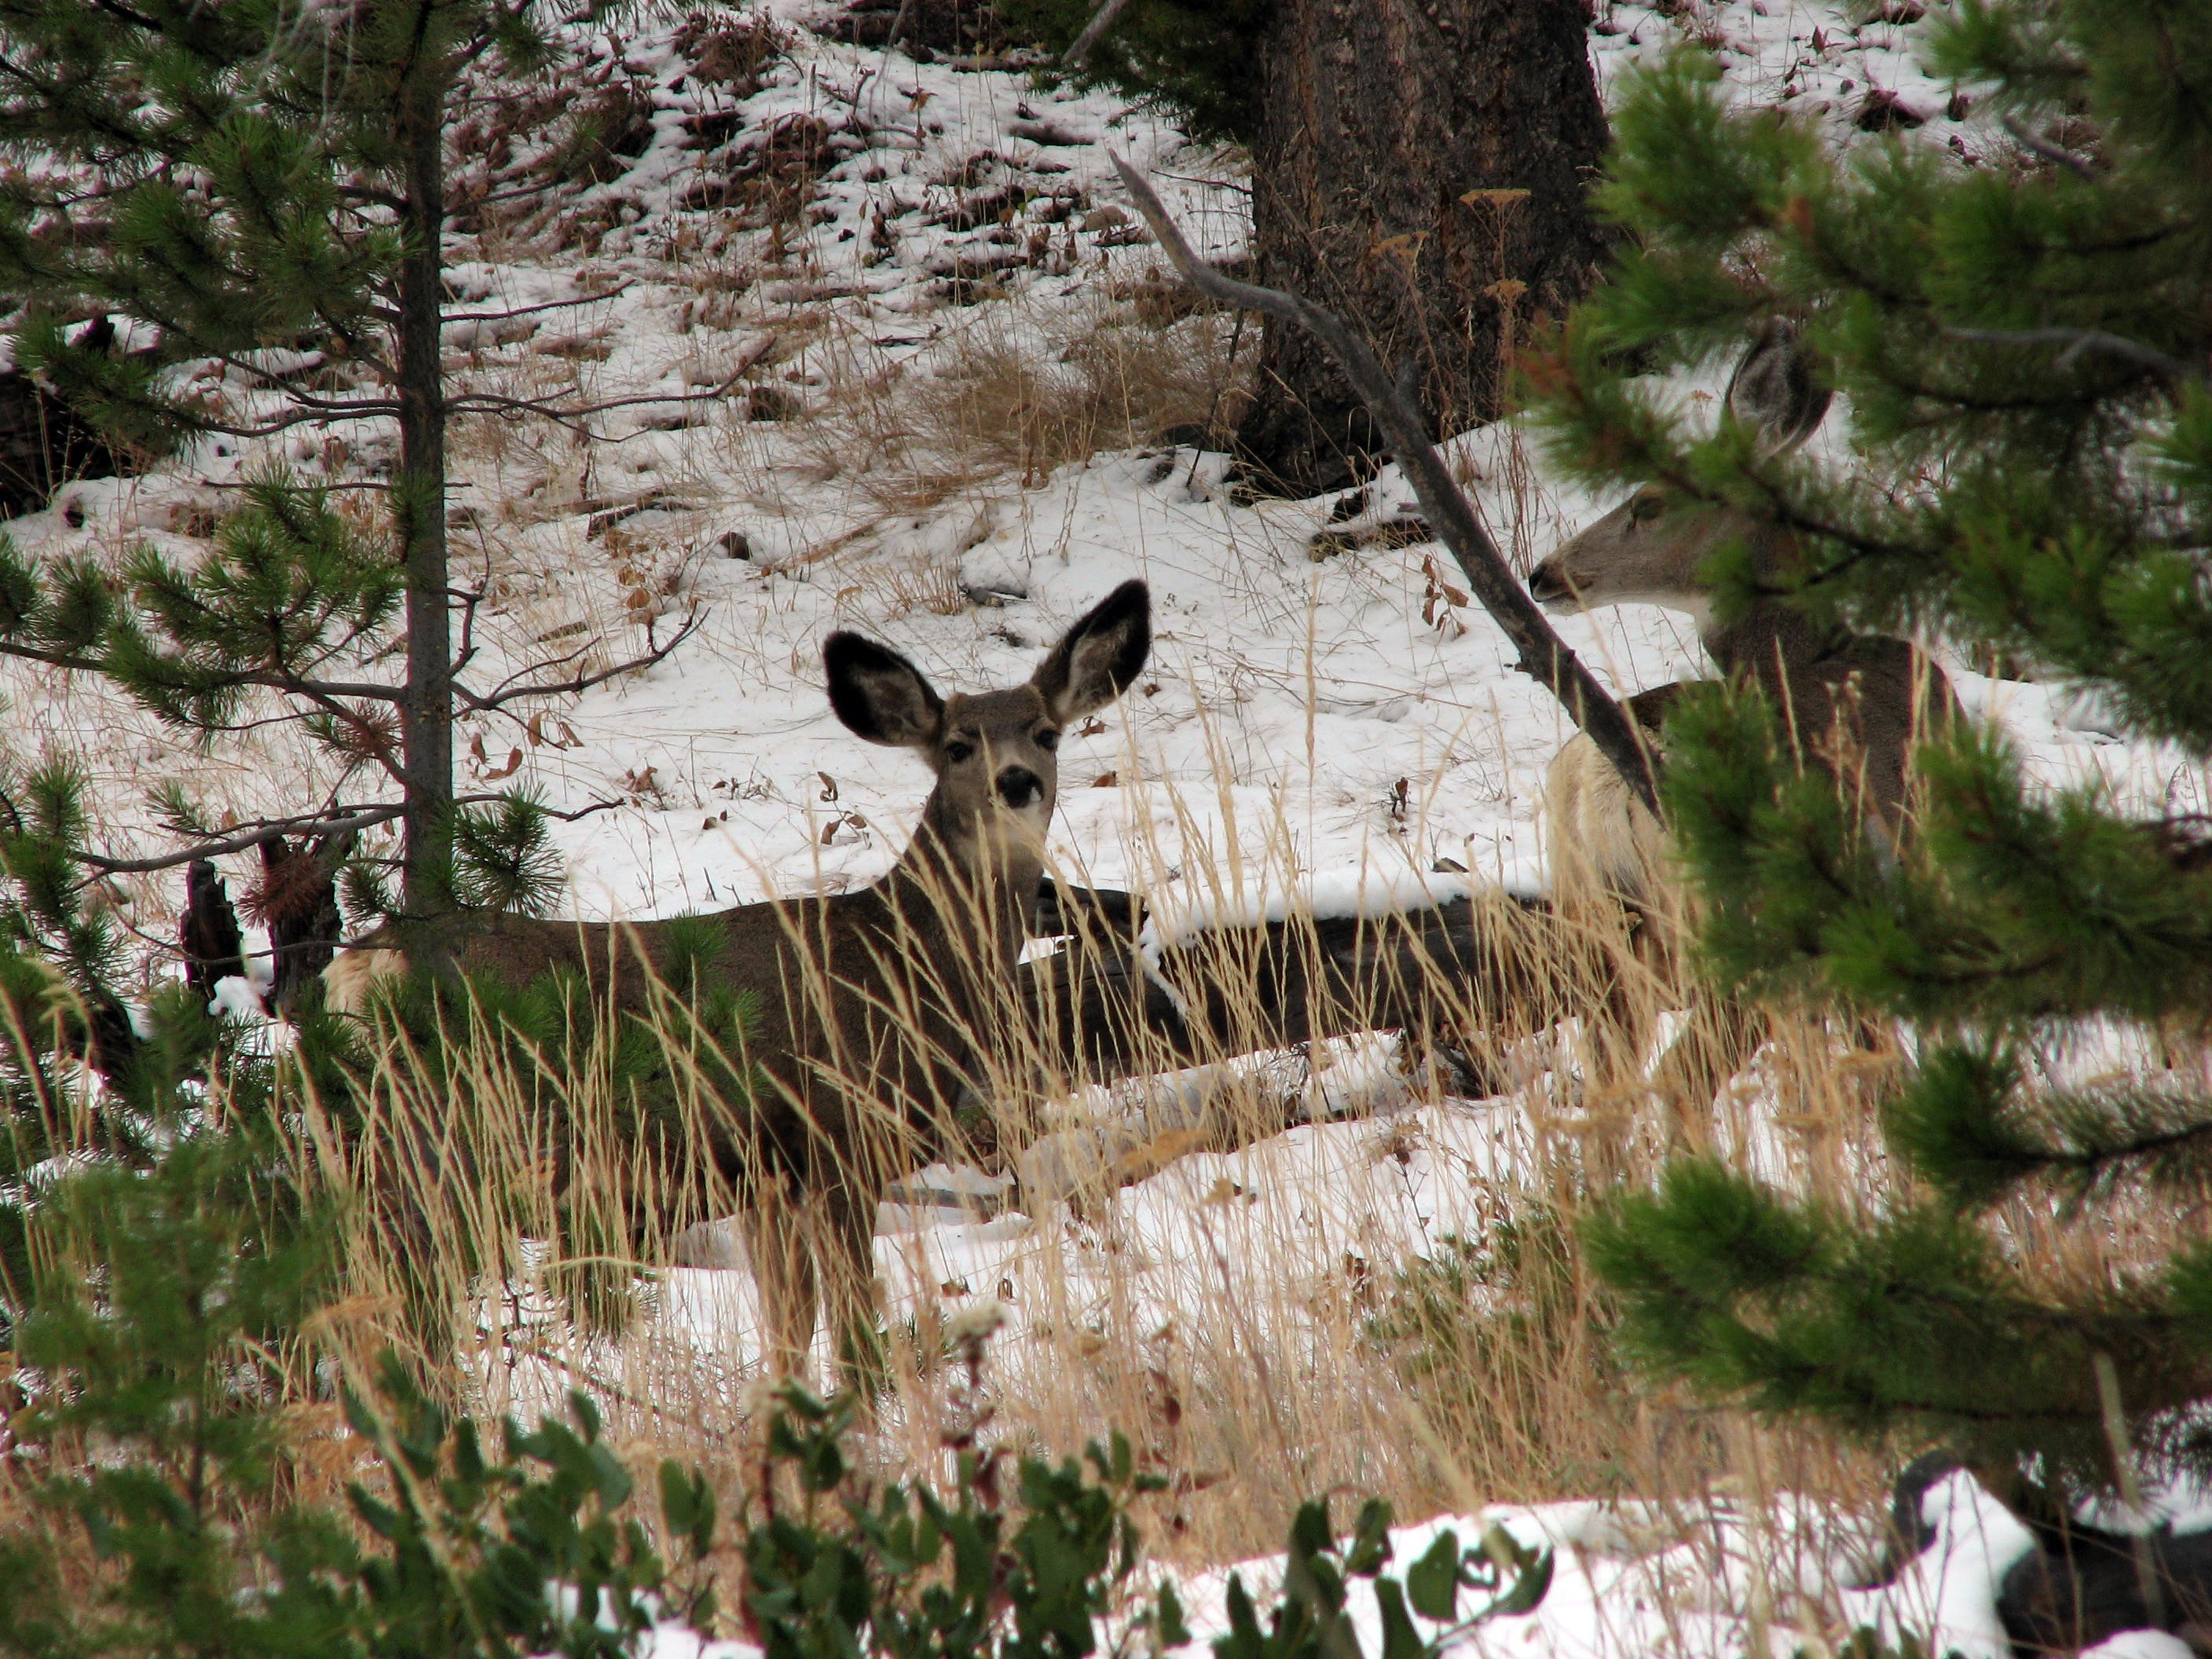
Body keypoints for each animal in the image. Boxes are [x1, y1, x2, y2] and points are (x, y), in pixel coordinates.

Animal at [326, 581, 1153, 1375]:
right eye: (956, 746)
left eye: (1046, 732)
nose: (1015, 782)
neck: (899, 960)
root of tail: (365, 965)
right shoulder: (837, 1141)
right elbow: (855, 1338)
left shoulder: (769, 1185)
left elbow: (789, 1334)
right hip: (449, 1146)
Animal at [1527, 321, 1954, 1123]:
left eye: (1648, 502)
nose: (1544, 573)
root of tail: (1606, 779)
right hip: (1748, 926)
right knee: (1685, 1077)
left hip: (1594, 923)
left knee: (1611, 1091)